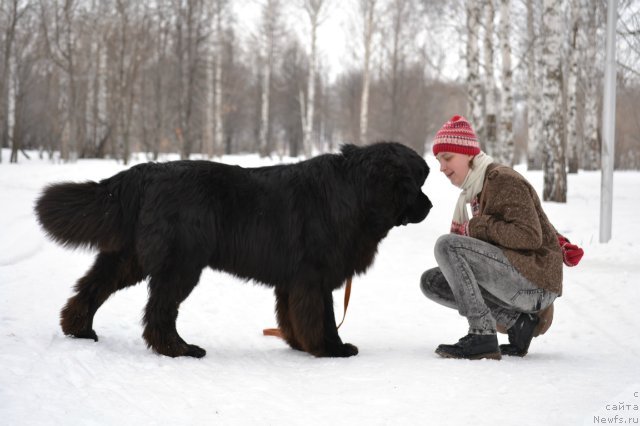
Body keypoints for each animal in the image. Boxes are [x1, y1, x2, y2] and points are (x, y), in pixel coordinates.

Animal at [36, 143, 436, 360]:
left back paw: (79, 329)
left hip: (128, 257)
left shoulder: (292, 281)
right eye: (415, 184)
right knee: (159, 311)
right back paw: (179, 349)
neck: (356, 193)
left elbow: (291, 317)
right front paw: (331, 349)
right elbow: (321, 317)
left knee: (92, 287)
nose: (430, 206)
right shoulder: (314, 277)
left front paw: (299, 345)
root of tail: (146, 172)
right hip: (180, 264)